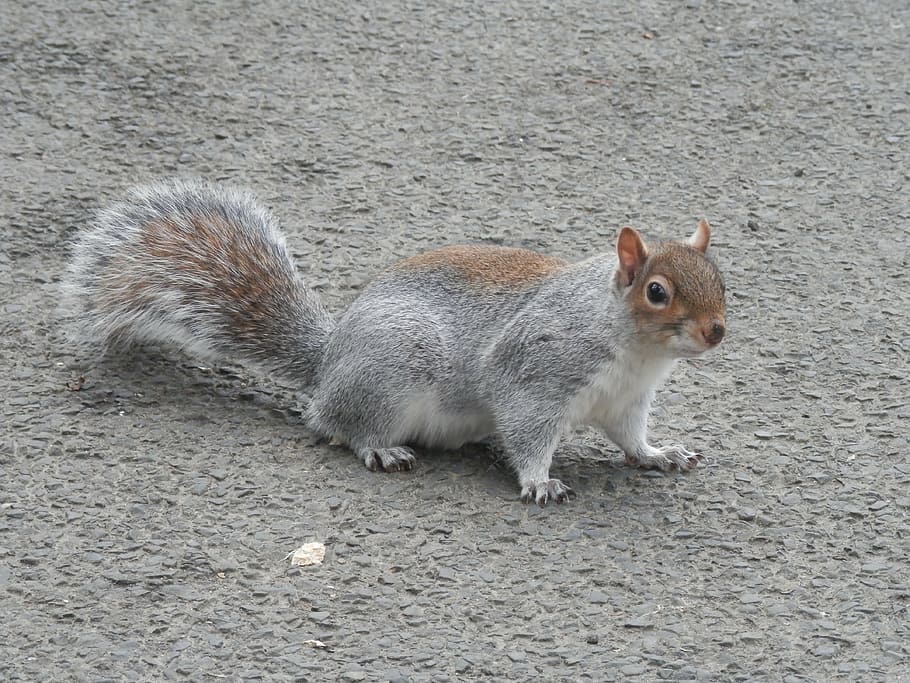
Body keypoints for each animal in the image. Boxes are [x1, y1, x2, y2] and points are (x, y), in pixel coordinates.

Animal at [63, 178, 726, 505]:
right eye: (658, 292)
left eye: (721, 279)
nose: (716, 330)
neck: (635, 351)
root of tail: (330, 361)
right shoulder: (536, 370)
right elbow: (528, 430)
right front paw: (539, 481)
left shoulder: (626, 401)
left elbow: (632, 439)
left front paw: (660, 454)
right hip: (392, 372)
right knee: (337, 424)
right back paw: (379, 449)